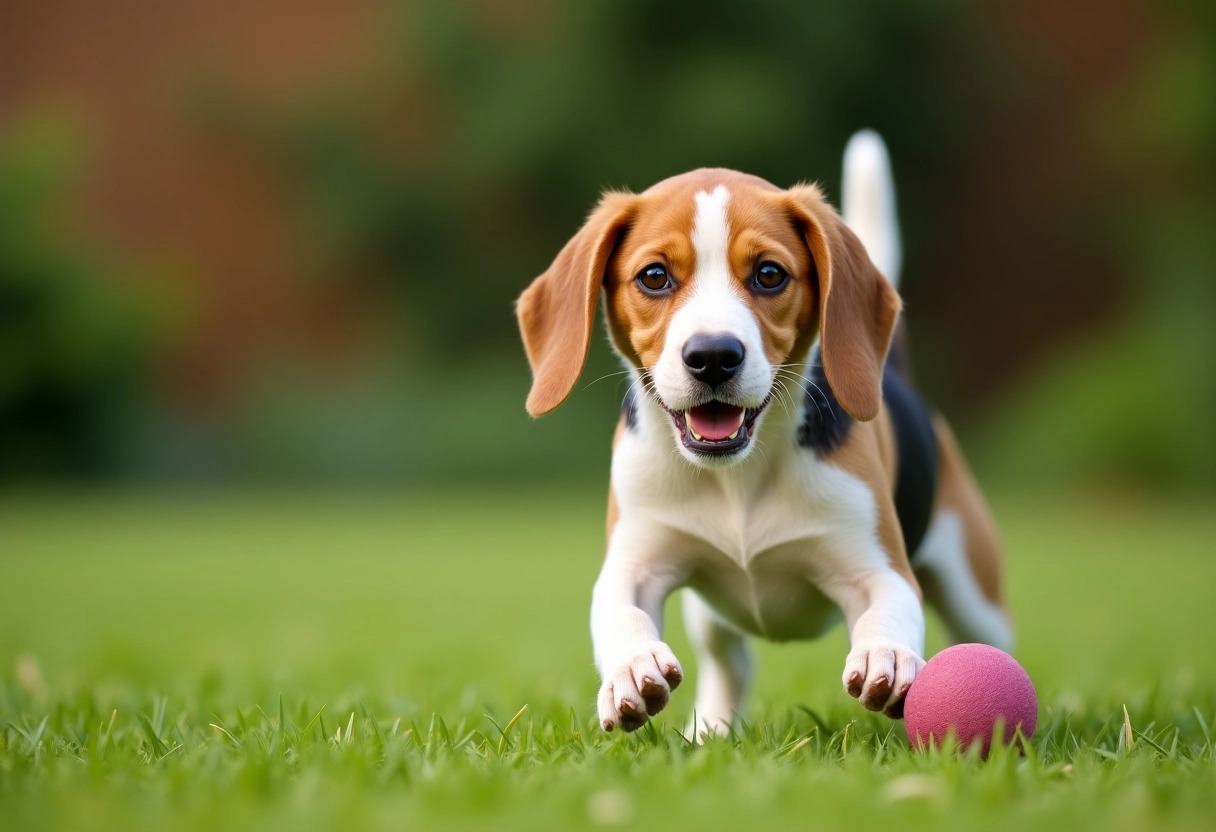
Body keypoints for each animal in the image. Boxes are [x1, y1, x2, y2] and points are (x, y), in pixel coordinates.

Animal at [518, 130, 1011, 734]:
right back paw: (711, 728)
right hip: (710, 616)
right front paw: (632, 668)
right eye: (654, 276)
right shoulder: (634, 558)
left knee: (987, 638)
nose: (712, 356)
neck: (737, 474)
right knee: (730, 664)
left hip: (974, 590)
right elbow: (620, 611)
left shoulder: (878, 566)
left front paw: (887, 655)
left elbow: (888, 609)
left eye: (769, 274)